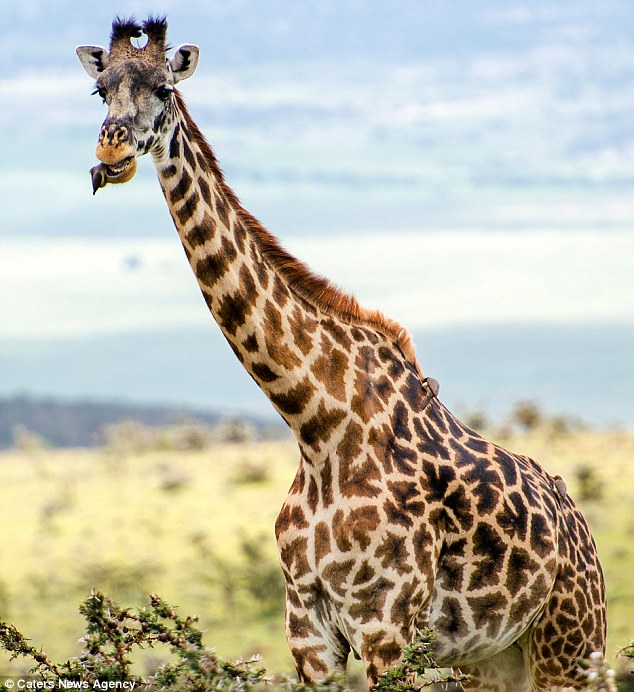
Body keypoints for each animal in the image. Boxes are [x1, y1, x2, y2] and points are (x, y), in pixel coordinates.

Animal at [76, 17, 604, 692]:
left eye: (164, 89)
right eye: (101, 91)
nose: (110, 155)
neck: (315, 422)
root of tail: (583, 530)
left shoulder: (387, 626)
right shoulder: (309, 630)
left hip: (571, 642)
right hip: (492, 658)